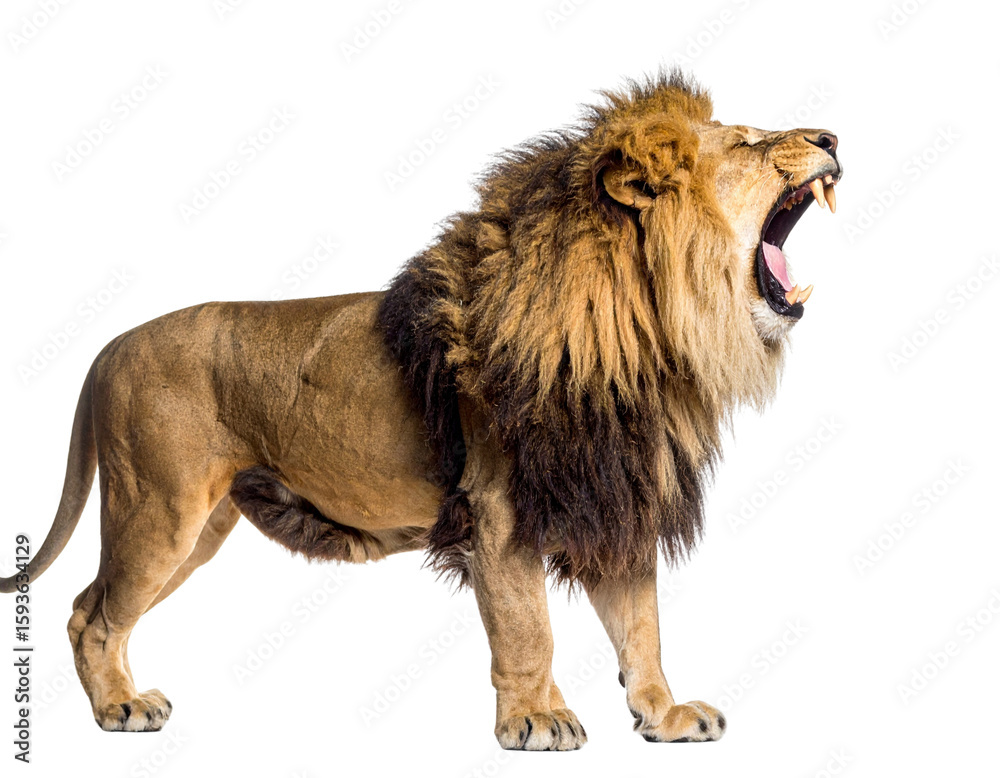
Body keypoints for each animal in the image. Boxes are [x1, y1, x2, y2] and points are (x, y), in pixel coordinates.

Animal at [0, 72, 840, 749]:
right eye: (749, 143)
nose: (832, 136)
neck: (647, 339)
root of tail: (109, 347)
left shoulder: (613, 498)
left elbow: (643, 630)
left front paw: (662, 716)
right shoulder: (499, 510)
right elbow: (529, 628)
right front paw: (538, 719)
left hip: (200, 526)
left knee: (89, 606)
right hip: (158, 509)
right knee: (91, 615)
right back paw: (119, 710)